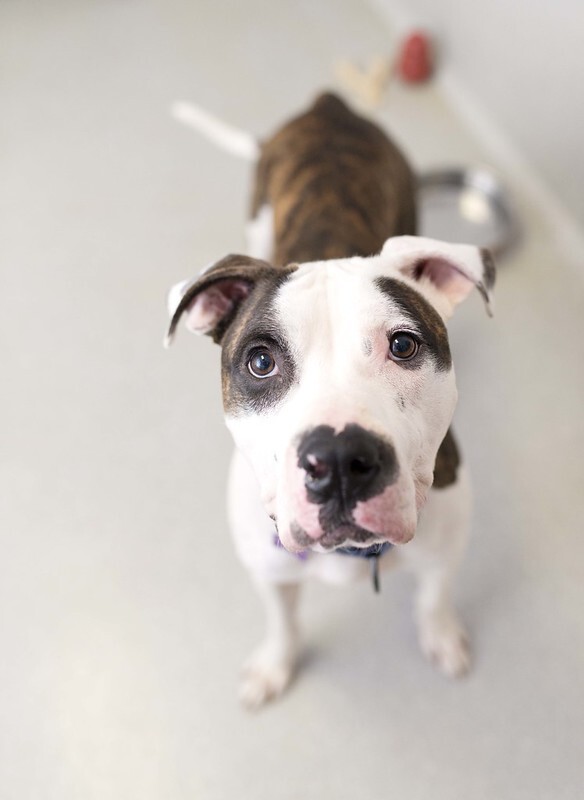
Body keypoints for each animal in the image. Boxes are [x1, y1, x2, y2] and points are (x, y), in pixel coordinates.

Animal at [164, 90, 492, 708]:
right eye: (261, 362)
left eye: (403, 345)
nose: (339, 459)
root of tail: (330, 105)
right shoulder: (268, 571)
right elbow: (282, 621)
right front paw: (274, 666)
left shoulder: (447, 546)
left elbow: (433, 596)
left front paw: (441, 638)